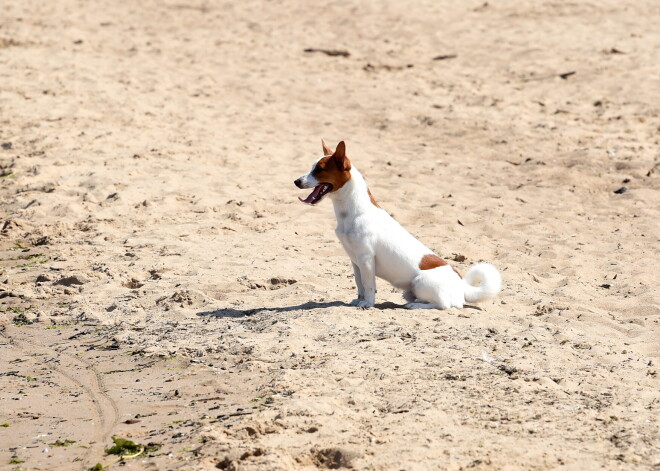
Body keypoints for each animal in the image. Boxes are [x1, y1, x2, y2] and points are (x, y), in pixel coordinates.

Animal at [294, 140, 500, 310]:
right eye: (312, 167)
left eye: (319, 170)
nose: (296, 181)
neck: (353, 212)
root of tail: (462, 286)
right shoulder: (355, 260)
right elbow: (360, 284)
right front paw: (358, 300)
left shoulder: (366, 259)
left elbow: (369, 285)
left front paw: (367, 303)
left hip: (420, 282)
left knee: (446, 305)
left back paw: (417, 306)